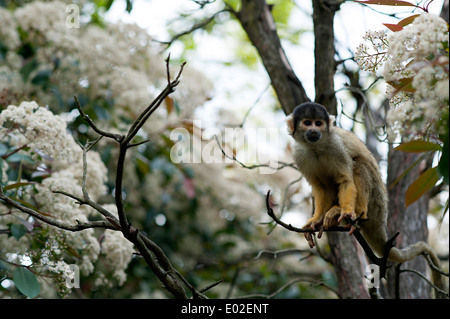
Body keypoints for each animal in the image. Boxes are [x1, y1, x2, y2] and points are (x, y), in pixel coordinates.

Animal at [286, 103, 444, 298]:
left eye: (319, 123)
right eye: (307, 123)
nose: (314, 131)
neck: (316, 147)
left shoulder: (335, 147)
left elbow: (346, 180)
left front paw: (346, 211)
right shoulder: (299, 154)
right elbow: (320, 187)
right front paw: (315, 220)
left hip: (378, 203)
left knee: (359, 164)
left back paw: (355, 213)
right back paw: (330, 216)